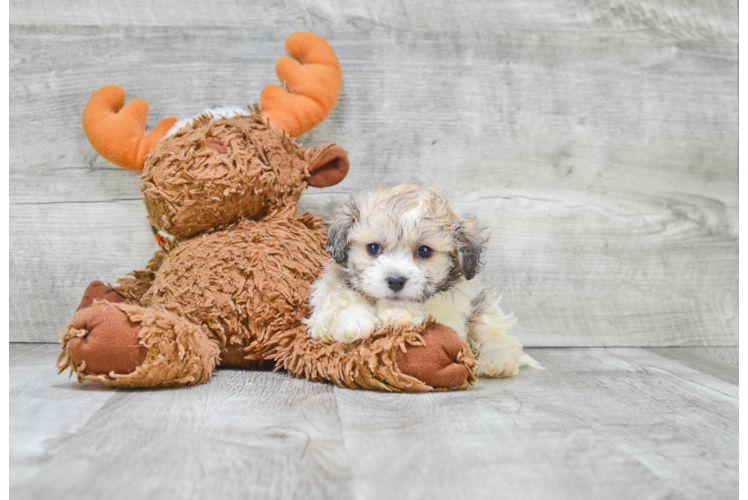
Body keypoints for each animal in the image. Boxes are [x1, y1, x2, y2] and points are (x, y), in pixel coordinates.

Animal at [304, 186, 536, 376]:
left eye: (424, 251)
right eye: (373, 248)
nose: (396, 280)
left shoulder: (451, 313)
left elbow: (429, 308)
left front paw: (398, 315)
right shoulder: (326, 299)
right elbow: (342, 301)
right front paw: (355, 323)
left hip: (483, 307)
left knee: (493, 333)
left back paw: (497, 361)